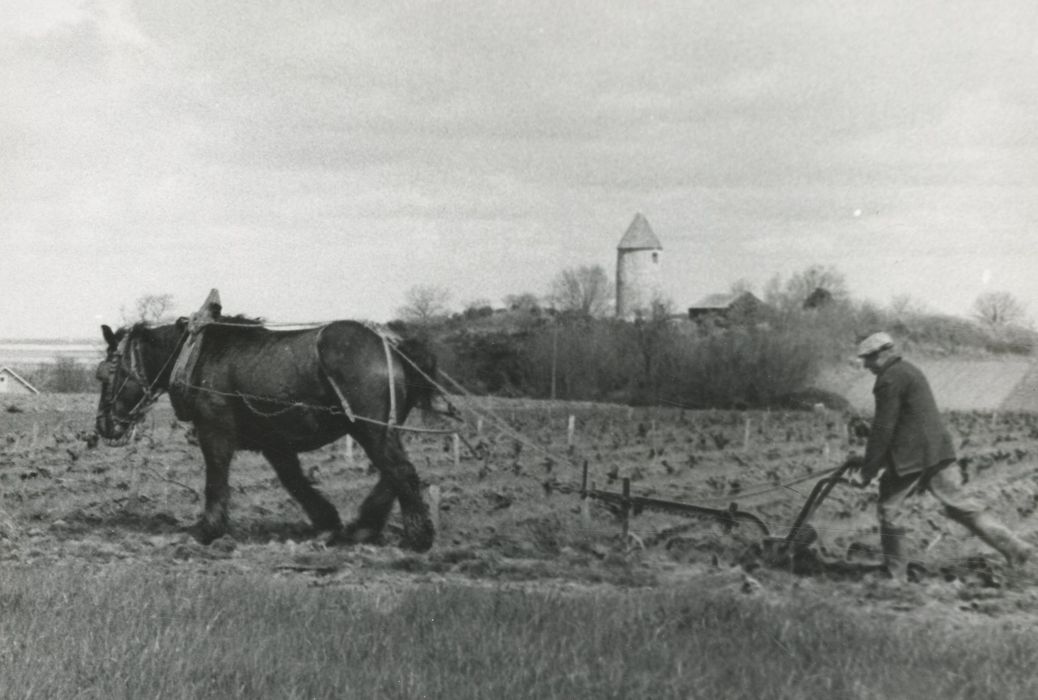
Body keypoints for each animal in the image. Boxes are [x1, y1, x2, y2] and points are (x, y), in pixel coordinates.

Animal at [92, 313, 442, 548]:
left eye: (107, 372)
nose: (104, 425)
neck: (196, 355)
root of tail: (394, 347)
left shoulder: (214, 430)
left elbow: (216, 477)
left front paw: (208, 529)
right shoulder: (274, 442)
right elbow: (295, 482)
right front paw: (327, 522)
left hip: (371, 428)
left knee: (400, 470)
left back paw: (418, 535)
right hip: (381, 429)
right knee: (393, 474)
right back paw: (365, 527)